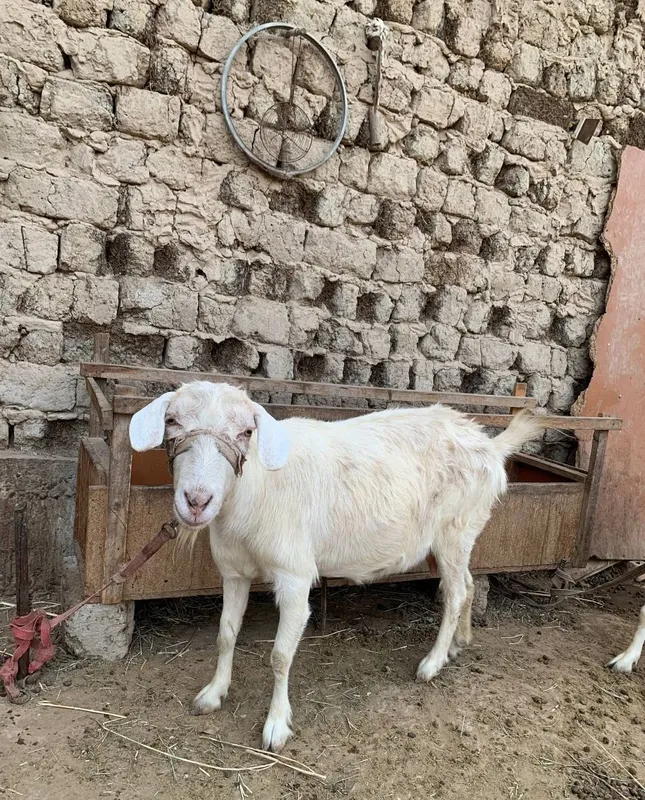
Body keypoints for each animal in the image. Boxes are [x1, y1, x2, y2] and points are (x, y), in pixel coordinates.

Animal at [129, 381, 543, 751]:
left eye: (246, 432)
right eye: (171, 422)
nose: (197, 501)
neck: (254, 492)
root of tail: (490, 444)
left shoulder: (294, 576)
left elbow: (280, 655)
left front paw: (276, 725)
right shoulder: (234, 571)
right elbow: (226, 634)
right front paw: (213, 694)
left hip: (454, 529)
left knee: (455, 593)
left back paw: (432, 663)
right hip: (462, 536)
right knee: (470, 585)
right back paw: (460, 642)